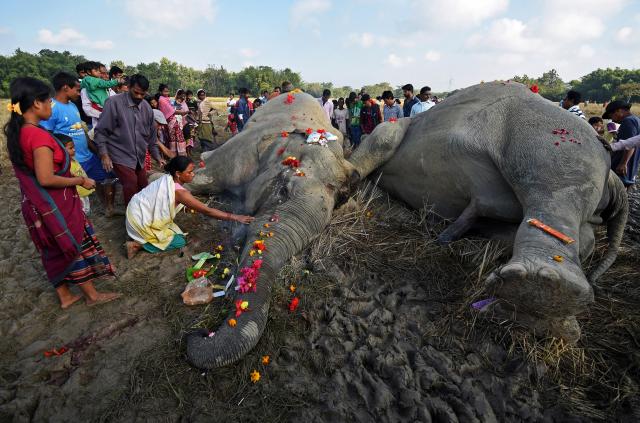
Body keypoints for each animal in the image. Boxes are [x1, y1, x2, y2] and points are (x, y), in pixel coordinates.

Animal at [185, 82, 624, 368]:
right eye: (281, 189)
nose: (195, 335)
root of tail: (614, 175)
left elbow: (381, 139)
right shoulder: (241, 151)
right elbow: (201, 177)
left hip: (555, 139)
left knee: (560, 191)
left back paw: (541, 296)